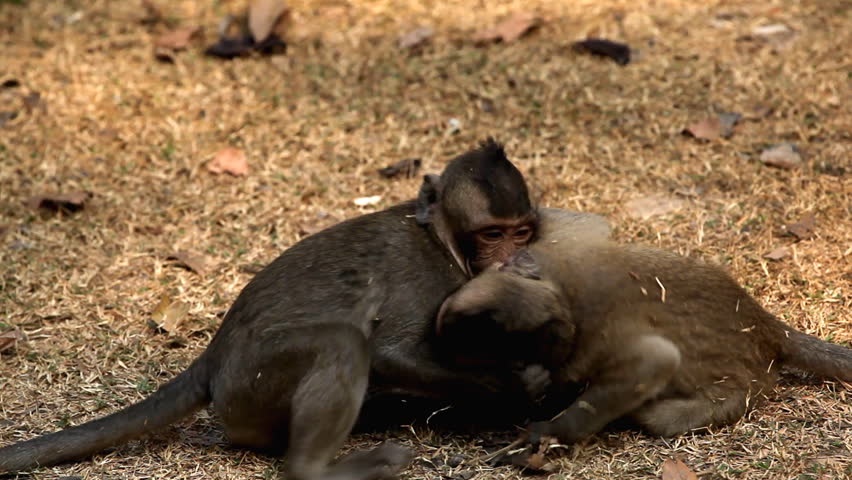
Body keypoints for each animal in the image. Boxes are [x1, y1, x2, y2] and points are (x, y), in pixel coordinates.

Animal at [0, 139, 610, 476]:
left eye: (521, 231)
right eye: (491, 235)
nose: (514, 258)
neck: (442, 240)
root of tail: (214, 359)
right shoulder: (424, 277)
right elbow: (389, 352)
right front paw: (514, 384)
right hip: (251, 386)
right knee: (342, 343)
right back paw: (317, 468)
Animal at [435, 236, 852, 446]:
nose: (440, 325)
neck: (565, 293)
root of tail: (762, 323)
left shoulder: (599, 342)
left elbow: (655, 361)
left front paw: (550, 432)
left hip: (743, 387)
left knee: (661, 415)